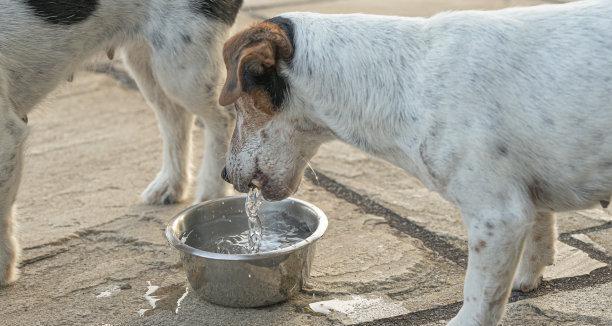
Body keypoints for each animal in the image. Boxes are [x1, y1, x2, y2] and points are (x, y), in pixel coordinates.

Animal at [0, 0, 244, 286]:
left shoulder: (7, 135)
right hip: (145, 58)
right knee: (176, 117)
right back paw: (170, 184)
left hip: (182, 61)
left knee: (223, 117)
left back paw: (212, 192)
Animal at [220, 1, 612, 324]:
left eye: (237, 106)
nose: (223, 173)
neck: (405, 83)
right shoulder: (525, 198)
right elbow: (541, 234)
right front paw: (526, 279)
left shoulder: (498, 216)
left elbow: (478, 300)